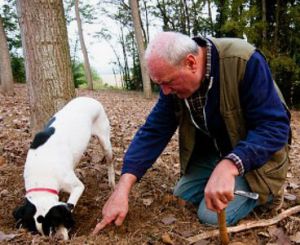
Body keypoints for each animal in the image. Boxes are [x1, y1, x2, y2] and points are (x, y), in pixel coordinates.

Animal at [12, 96, 115, 240]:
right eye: (42, 232)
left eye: (54, 225)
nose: (57, 239)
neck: (42, 174)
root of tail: (89, 98)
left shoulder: (77, 187)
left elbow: (70, 205)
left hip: (104, 139)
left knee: (110, 159)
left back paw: (112, 182)